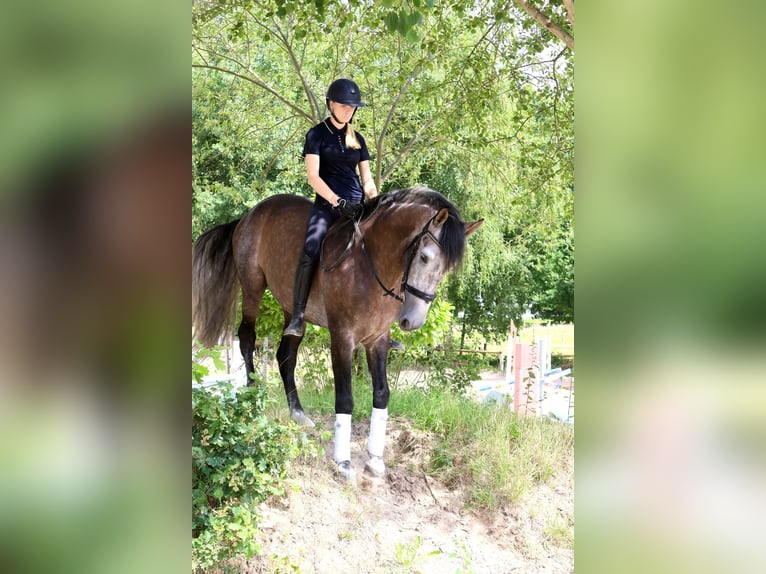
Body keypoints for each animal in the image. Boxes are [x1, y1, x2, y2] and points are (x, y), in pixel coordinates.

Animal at [192, 186, 482, 481]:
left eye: (447, 269)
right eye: (424, 257)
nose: (413, 321)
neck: (373, 262)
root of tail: (249, 215)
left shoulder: (377, 341)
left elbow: (382, 394)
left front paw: (375, 459)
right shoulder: (342, 338)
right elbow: (345, 398)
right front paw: (343, 461)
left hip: (292, 308)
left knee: (286, 356)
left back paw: (298, 414)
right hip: (252, 287)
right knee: (247, 339)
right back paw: (253, 398)